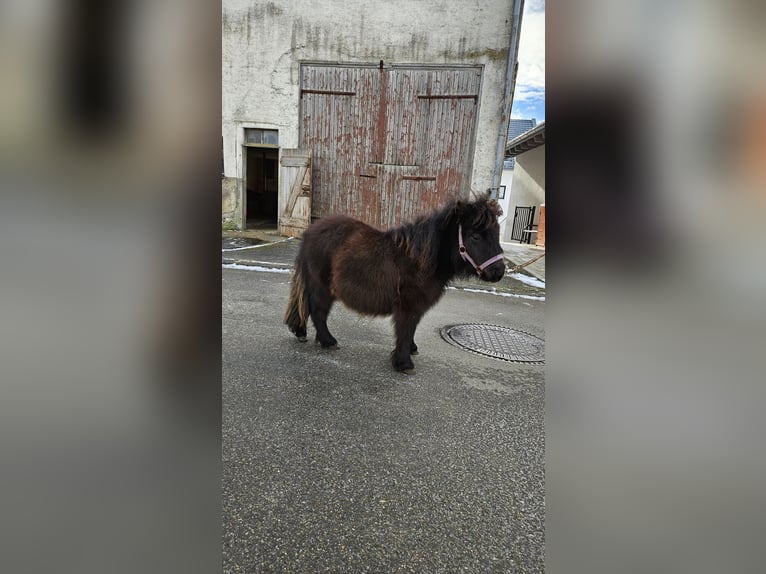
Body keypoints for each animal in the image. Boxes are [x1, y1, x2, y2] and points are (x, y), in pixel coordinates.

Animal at [284, 194, 508, 374]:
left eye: (496, 234)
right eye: (475, 236)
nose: (499, 272)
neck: (420, 259)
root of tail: (309, 233)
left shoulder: (416, 306)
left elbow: (412, 329)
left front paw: (411, 349)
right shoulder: (408, 305)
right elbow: (405, 329)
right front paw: (403, 363)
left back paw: (303, 333)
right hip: (322, 288)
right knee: (318, 312)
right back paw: (328, 341)